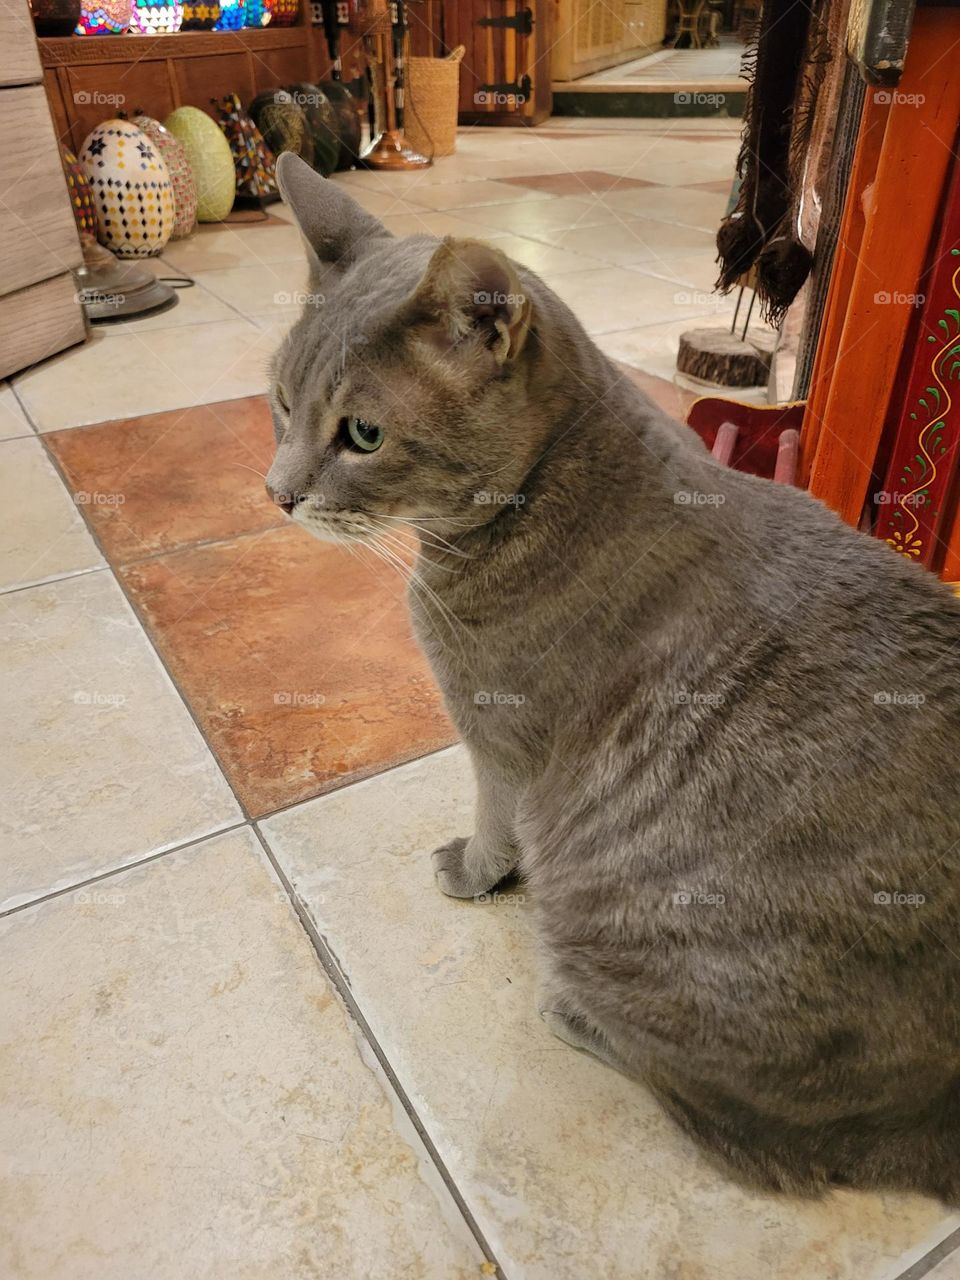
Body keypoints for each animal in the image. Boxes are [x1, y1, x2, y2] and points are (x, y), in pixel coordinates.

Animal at [267, 154, 960, 1203]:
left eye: (364, 436)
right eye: (278, 402)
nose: (277, 493)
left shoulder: (499, 743)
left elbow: (494, 826)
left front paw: (470, 873)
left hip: (616, 913)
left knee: (737, 1125)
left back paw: (572, 1013)